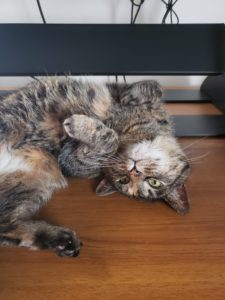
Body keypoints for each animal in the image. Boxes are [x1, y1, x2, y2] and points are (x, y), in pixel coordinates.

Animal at [0, 78, 191, 258]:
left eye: (152, 183)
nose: (134, 170)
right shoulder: (117, 89)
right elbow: (155, 85)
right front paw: (133, 96)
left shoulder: (68, 159)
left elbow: (110, 139)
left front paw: (80, 125)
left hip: (32, 185)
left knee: (5, 225)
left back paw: (64, 242)